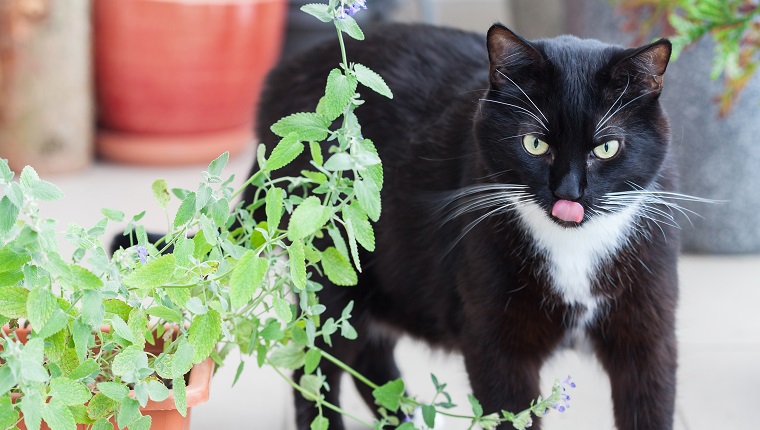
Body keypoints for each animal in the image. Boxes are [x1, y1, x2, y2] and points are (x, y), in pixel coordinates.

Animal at [251, 23, 684, 430]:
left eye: (607, 148)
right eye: (534, 144)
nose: (568, 194)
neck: (573, 250)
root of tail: (285, 72)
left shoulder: (648, 333)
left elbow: (650, 404)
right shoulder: (496, 344)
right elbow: (509, 411)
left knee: (369, 358)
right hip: (331, 263)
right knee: (316, 366)